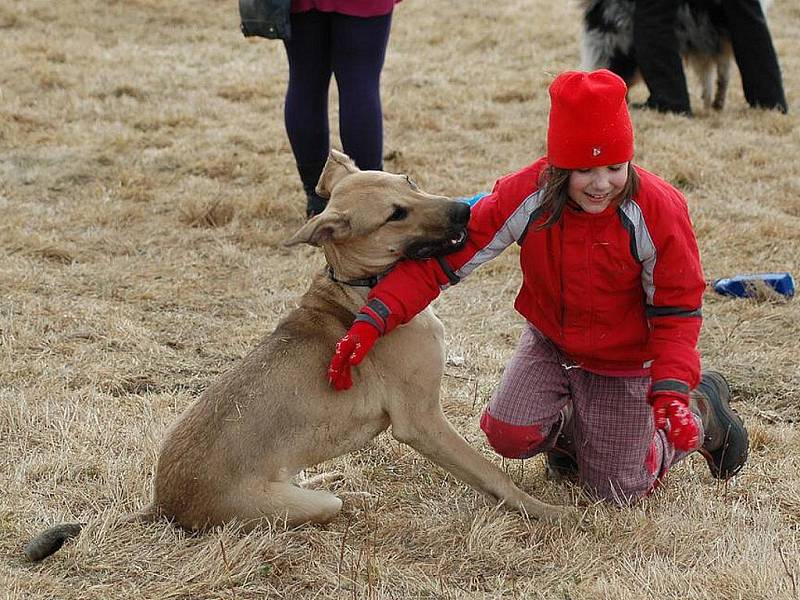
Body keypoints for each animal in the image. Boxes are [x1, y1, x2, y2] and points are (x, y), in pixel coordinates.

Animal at [25, 150, 576, 564]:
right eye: (395, 214)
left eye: (410, 180)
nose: (464, 210)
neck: (364, 288)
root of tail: (162, 505)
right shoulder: (422, 420)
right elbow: (491, 474)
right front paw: (547, 512)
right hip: (289, 507)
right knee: (326, 509)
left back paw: (337, 479)